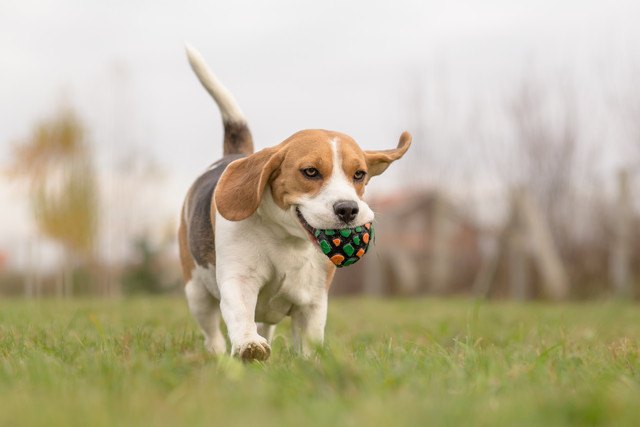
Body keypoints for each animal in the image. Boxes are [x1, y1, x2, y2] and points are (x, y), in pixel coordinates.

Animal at [180, 45, 412, 362]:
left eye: (359, 174)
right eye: (310, 171)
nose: (348, 209)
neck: (287, 241)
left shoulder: (313, 302)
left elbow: (310, 340)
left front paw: (311, 362)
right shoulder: (239, 281)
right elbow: (240, 316)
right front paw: (248, 346)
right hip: (196, 291)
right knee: (212, 333)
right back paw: (217, 354)